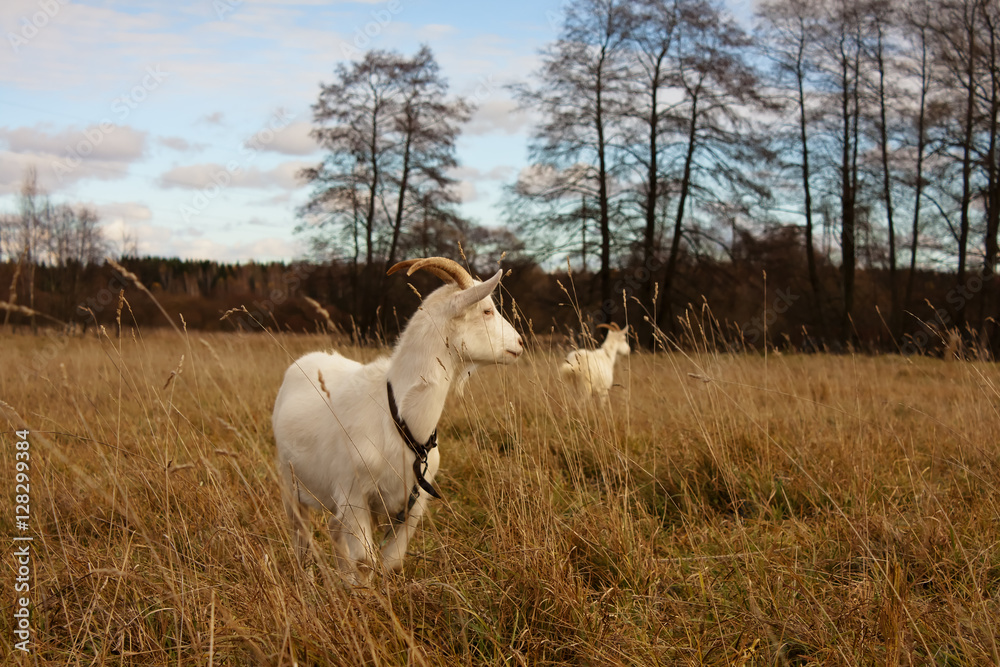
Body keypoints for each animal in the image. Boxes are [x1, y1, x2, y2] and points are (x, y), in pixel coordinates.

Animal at [272, 257, 523, 585]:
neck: (399, 420)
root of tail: (305, 361)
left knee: (333, 529)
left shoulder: (412, 506)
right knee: (301, 536)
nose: (520, 342)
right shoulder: (354, 496)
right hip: (289, 484)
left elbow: (390, 561)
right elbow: (365, 560)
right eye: (487, 310)